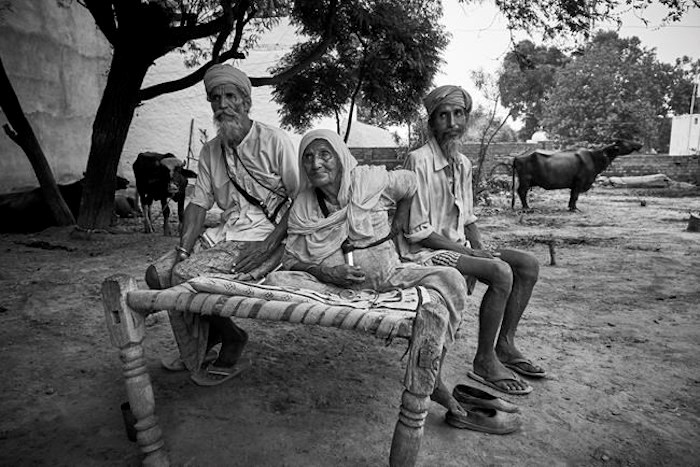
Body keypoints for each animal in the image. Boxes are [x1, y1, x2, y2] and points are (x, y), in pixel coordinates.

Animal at [512, 140, 644, 211]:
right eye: (625, 142)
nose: (639, 144)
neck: (594, 158)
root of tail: (518, 156)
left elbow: (572, 197)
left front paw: (571, 207)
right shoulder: (579, 182)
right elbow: (575, 196)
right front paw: (574, 209)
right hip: (525, 179)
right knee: (521, 192)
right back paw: (526, 208)